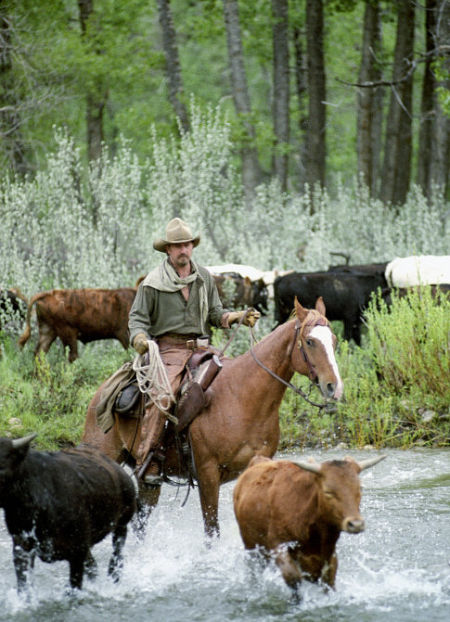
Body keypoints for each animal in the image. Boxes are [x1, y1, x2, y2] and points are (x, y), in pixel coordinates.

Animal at [0, 436, 137, 592]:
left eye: (1, 469)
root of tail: (122, 473)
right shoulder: (22, 548)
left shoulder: (77, 552)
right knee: (93, 566)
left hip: (122, 524)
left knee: (117, 554)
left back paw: (114, 576)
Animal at [82, 300, 342, 540]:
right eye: (310, 341)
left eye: (334, 340)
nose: (334, 387)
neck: (242, 397)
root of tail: (100, 392)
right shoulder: (207, 472)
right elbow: (211, 530)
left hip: (147, 481)